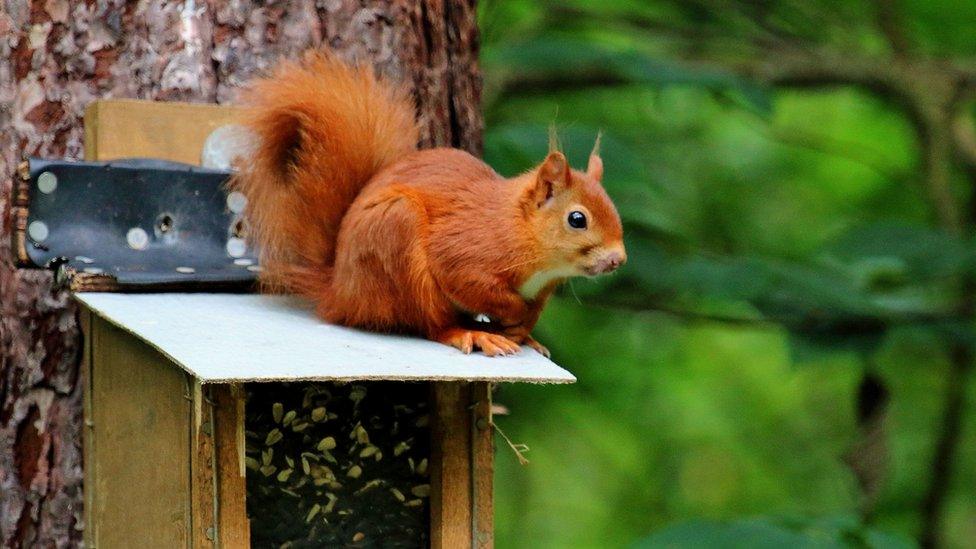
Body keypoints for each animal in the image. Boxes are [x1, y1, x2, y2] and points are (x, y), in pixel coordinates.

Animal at [233, 51, 620, 356]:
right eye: (577, 219)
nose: (618, 259)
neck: (519, 228)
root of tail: (339, 291)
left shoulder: (543, 288)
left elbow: (532, 309)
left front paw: (525, 332)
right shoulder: (467, 253)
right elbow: (473, 283)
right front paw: (513, 315)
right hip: (398, 245)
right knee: (430, 325)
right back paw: (470, 333)